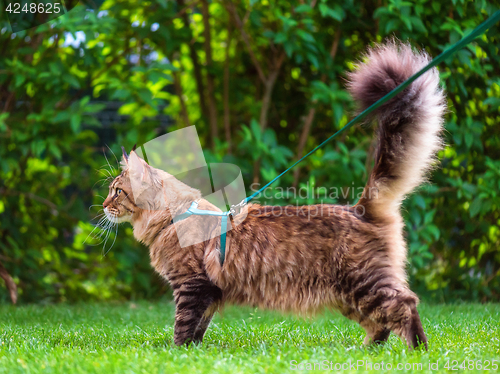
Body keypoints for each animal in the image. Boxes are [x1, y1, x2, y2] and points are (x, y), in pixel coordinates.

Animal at [102, 42, 446, 350]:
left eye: (117, 191)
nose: (103, 205)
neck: (175, 217)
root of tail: (358, 208)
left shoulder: (191, 285)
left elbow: (183, 324)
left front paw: (177, 353)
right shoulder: (209, 291)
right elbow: (200, 326)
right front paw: (194, 351)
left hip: (364, 282)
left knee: (405, 304)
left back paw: (418, 350)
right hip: (348, 295)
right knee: (380, 323)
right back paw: (366, 350)